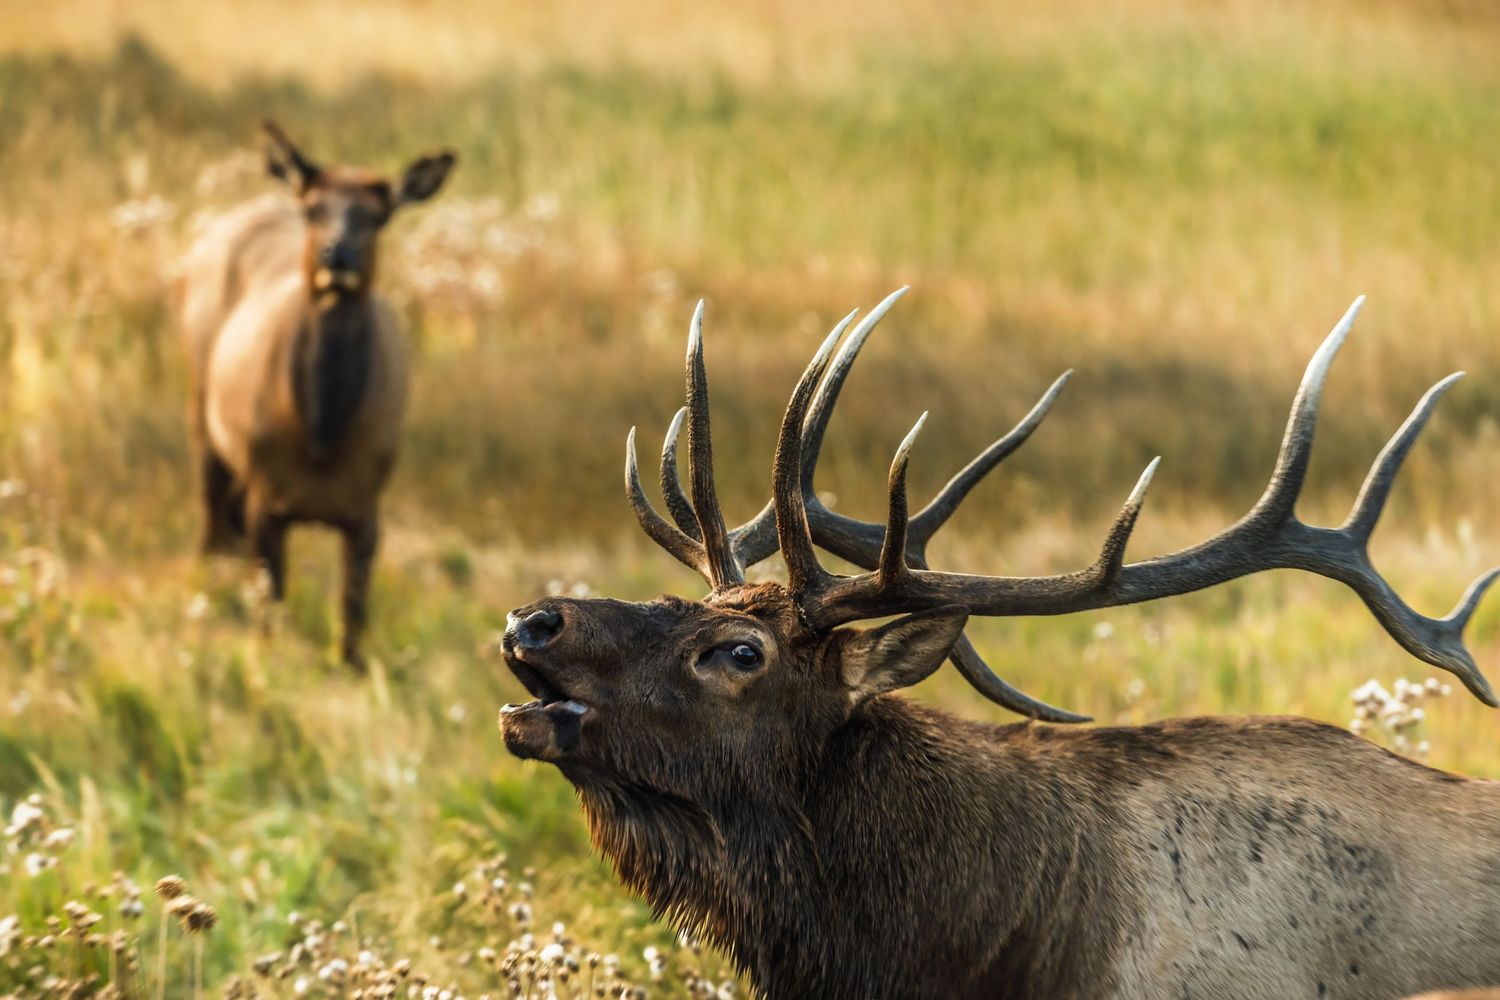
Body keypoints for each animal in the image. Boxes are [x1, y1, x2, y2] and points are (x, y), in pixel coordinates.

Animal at [178, 121, 454, 667]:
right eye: (314, 209)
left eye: (378, 216)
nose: (338, 254)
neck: (321, 435)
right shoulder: (267, 495)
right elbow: (271, 606)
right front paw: (268, 661)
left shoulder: (367, 505)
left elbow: (352, 614)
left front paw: (350, 665)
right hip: (201, 402)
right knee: (212, 509)